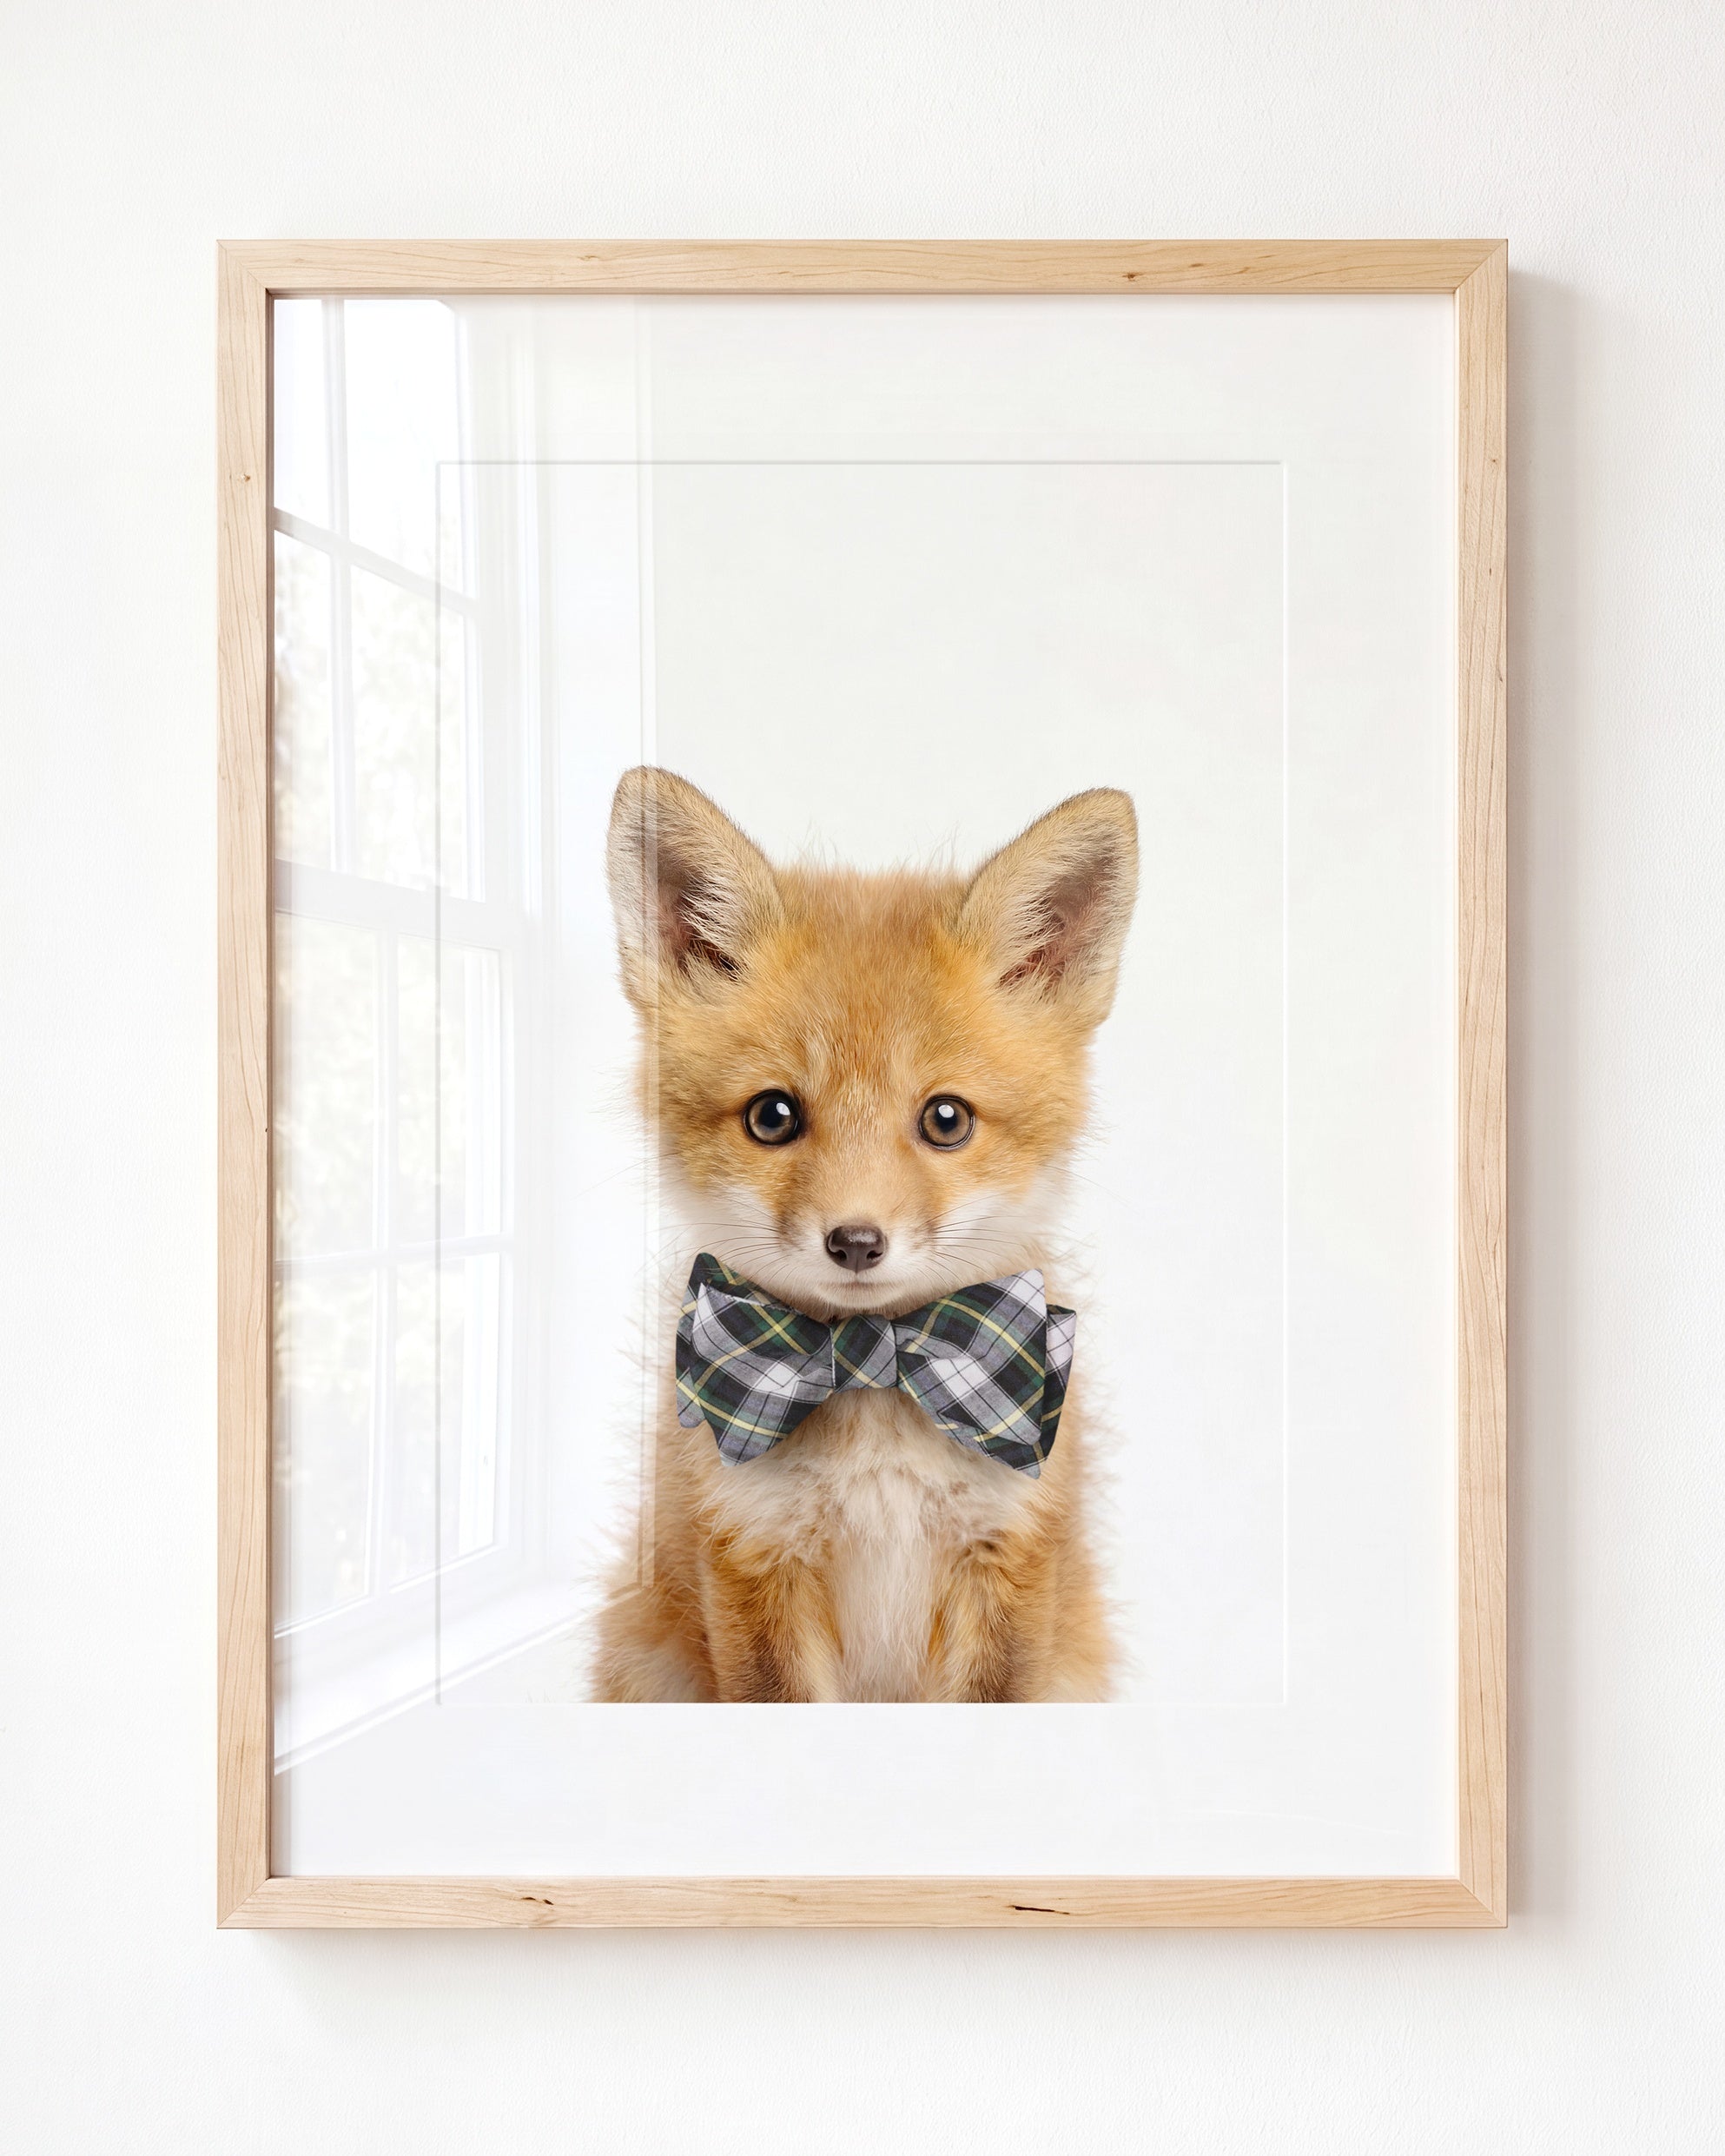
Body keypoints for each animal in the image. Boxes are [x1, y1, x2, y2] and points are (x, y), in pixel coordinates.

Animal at [590, 765, 1139, 1703]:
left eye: (946, 1120)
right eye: (772, 1116)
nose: (855, 1242)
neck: (875, 1371)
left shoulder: (1009, 1557)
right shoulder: (752, 1556)